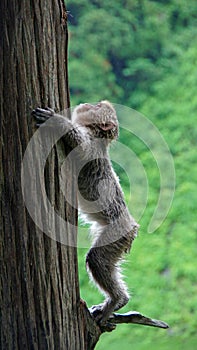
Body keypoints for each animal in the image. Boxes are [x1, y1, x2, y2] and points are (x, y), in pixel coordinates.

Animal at [32, 101, 139, 326]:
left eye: (98, 107)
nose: (89, 103)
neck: (98, 136)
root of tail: (132, 226)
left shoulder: (90, 145)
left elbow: (79, 143)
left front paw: (56, 121)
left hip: (117, 234)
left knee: (97, 258)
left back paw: (116, 300)